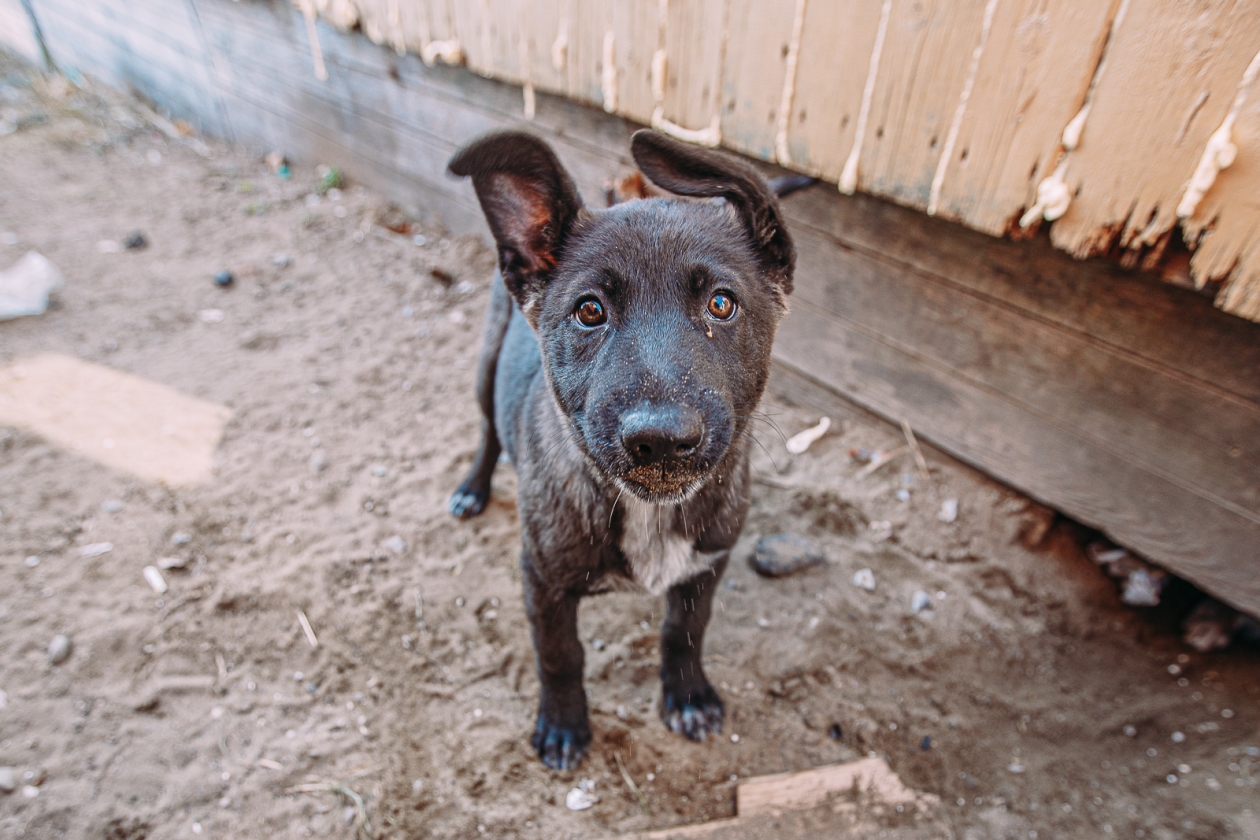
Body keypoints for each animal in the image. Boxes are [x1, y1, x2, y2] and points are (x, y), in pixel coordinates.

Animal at [448, 129, 791, 770]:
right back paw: (471, 489)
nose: (661, 439)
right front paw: (563, 725)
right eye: (589, 311)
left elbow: (684, 632)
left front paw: (687, 695)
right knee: (487, 431)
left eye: (722, 303)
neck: (648, 512)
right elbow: (560, 655)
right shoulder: (542, 580)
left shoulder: (707, 567)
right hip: (486, 363)